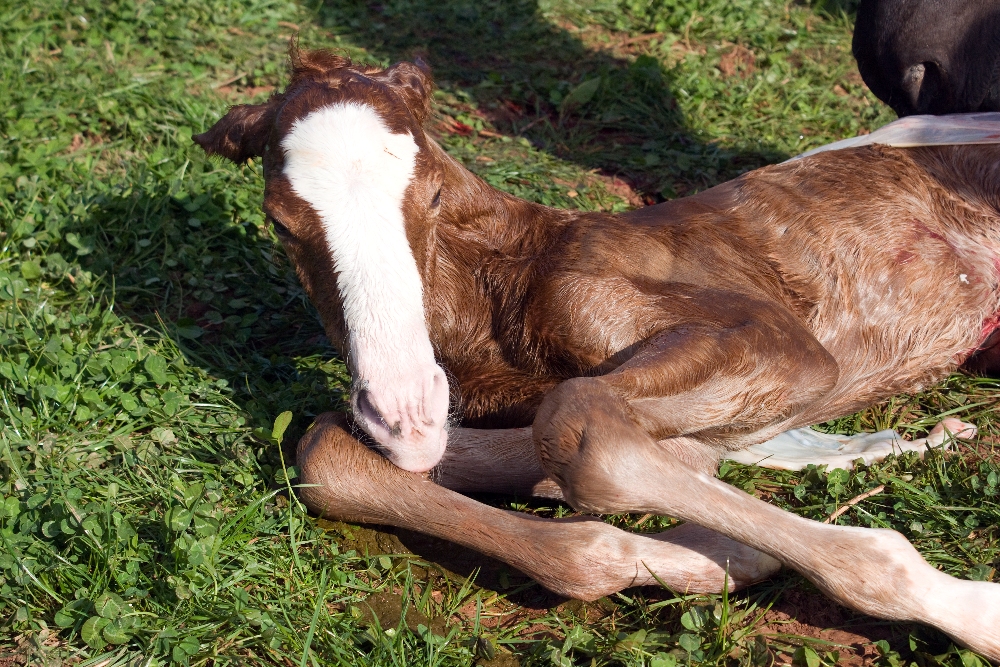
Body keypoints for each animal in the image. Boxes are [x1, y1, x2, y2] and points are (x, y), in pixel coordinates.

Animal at [193, 51, 1000, 656]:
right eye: (281, 221)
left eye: (430, 195)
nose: (404, 413)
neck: (506, 291)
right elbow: (326, 451)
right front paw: (718, 553)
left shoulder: (780, 344)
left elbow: (585, 431)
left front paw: (975, 611)